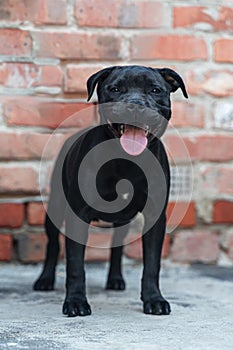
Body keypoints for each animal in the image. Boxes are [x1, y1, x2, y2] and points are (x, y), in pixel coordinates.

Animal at [34, 65, 187, 318]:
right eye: (115, 89)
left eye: (155, 90)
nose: (135, 104)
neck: (127, 159)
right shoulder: (78, 215)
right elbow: (76, 265)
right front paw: (76, 301)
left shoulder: (155, 219)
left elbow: (152, 263)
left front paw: (154, 299)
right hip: (55, 205)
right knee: (53, 243)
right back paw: (45, 279)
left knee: (118, 245)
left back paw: (115, 279)